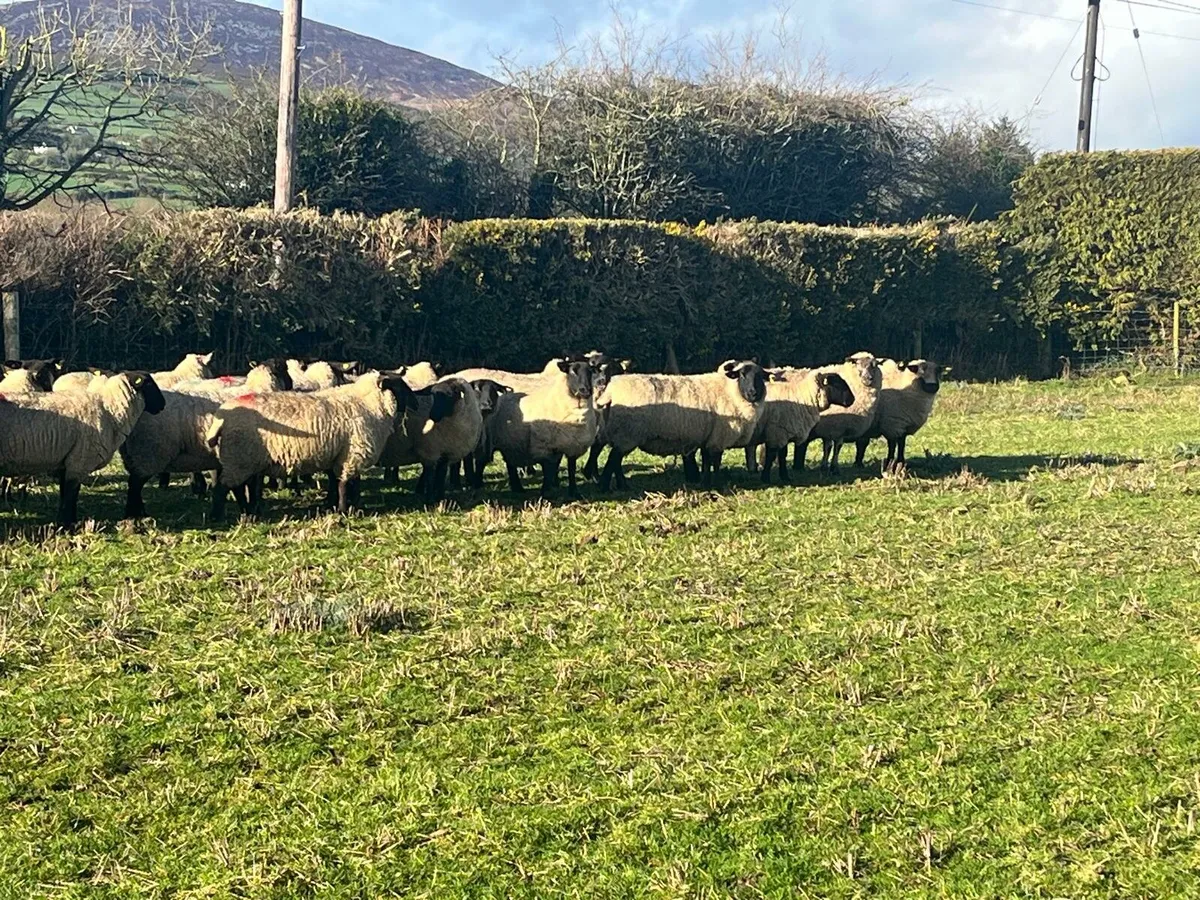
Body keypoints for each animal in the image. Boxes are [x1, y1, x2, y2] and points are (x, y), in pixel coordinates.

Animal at [0, 371, 166, 524]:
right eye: (149, 383)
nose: (163, 405)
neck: (109, 410)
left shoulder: (67, 462)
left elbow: (65, 494)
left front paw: (66, 521)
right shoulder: (79, 462)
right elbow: (71, 495)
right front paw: (68, 524)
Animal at [120, 359, 296, 517]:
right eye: (285, 369)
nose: (293, 385)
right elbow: (252, 487)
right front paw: (254, 508)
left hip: (135, 457)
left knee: (134, 485)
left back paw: (140, 512)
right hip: (149, 454)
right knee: (134, 485)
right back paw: (133, 514)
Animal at [205, 373, 417, 519]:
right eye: (401, 386)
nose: (416, 402)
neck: (368, 404)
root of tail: (221, 418)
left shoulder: (341, 455)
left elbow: (342, 483)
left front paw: (341, 506)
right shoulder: (353, 454)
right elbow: (345, 484)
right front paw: (344, 510)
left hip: (245, 459)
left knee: (237, 487)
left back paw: (248, 512)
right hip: (240, 458)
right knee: (226, 487)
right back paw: (230, 515)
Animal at [484, 358, 597, 498]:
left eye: (591, 372)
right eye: (572, 371)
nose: (585, 390)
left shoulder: (570, 445)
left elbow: (571, 469)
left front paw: (574, 493)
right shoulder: (545, 446)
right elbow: (548, 470)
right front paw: (545, 492)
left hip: (510, 441)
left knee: (510, 464)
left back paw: (517, 488)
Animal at [595, 360, 767, 491]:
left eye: (760, 376)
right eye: (742, 375)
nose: (753, 393)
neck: (730, 391)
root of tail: (610, 391)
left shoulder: (709, 437)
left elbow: (706, 462)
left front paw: (705, 483)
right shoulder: (719, 437)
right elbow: (716, 463)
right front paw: (716, 484)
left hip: (621, 434)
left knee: (615, 461)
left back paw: (621, 486)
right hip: (627, 433)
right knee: (613, 460)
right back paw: (605, 487)